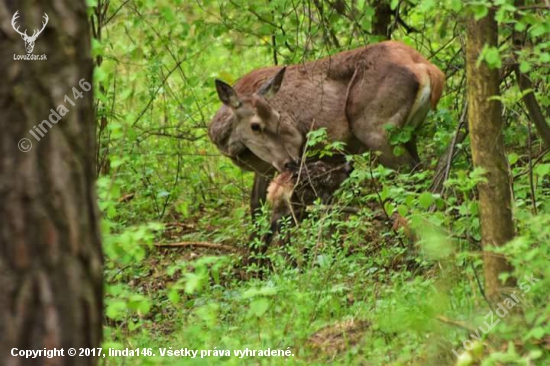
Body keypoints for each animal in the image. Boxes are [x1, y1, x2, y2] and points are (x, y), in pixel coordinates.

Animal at [209, 41, 446, 260]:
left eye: (278, 118)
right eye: (255, 126)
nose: (290, 161)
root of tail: (429, 70)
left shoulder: (295, 145)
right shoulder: (264, 168)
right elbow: (256, 211)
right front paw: (255, 263)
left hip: (375, 131)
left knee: (410, 178)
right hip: (409, 133)